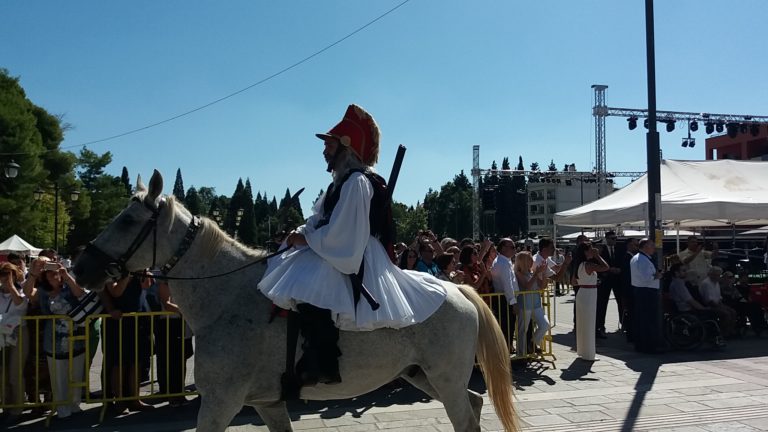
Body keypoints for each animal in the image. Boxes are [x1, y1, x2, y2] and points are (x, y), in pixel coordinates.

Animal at [73, 171, 516, 432]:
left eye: (128, 220)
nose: (81, 268)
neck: (226, 298)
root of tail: (457, 289)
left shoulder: (220, 402)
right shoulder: (265, 403)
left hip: (444, 376)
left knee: (465, 415)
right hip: (422, 374)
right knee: (473, 404)